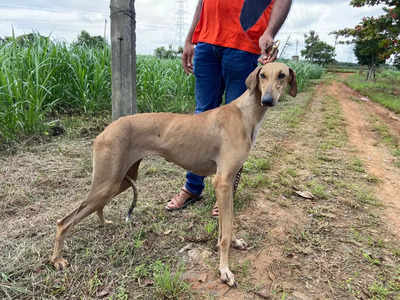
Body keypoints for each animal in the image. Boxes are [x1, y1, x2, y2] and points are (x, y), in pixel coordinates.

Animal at [50, 62, 296, 288]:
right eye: (262, 75)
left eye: (281, 75)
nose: (267, 100)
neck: (245, 113)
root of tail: (106, 129)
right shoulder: (223, 182)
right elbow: (224, 233)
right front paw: (225, 270)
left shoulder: (227, 185)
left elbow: (227, 224)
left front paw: (234, 242)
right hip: (107, 182)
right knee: (64, 222)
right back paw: (57, 259)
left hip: (119, 181)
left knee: (95, 207)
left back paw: (103, 223)